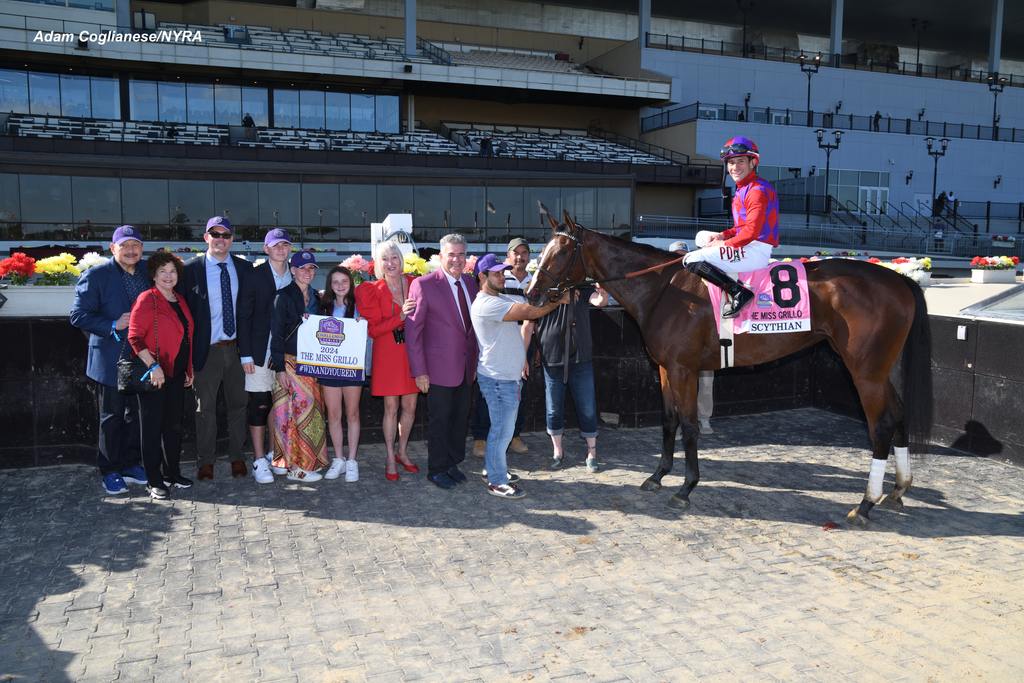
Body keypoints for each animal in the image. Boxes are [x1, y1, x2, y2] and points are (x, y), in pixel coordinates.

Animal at [528, 215, 937, 528]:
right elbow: (668, 421)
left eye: (559, 252)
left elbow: (690, 425)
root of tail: (900, 279)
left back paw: (866, 503)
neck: (663, 289)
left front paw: (686, 487)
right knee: (899, 414)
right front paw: (658, 476)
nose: (532, 293)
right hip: (882, 370)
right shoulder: (665, 369)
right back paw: (899, 489)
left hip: (865, 371)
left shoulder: (684, 370)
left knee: (881, 425)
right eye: (542, 250)